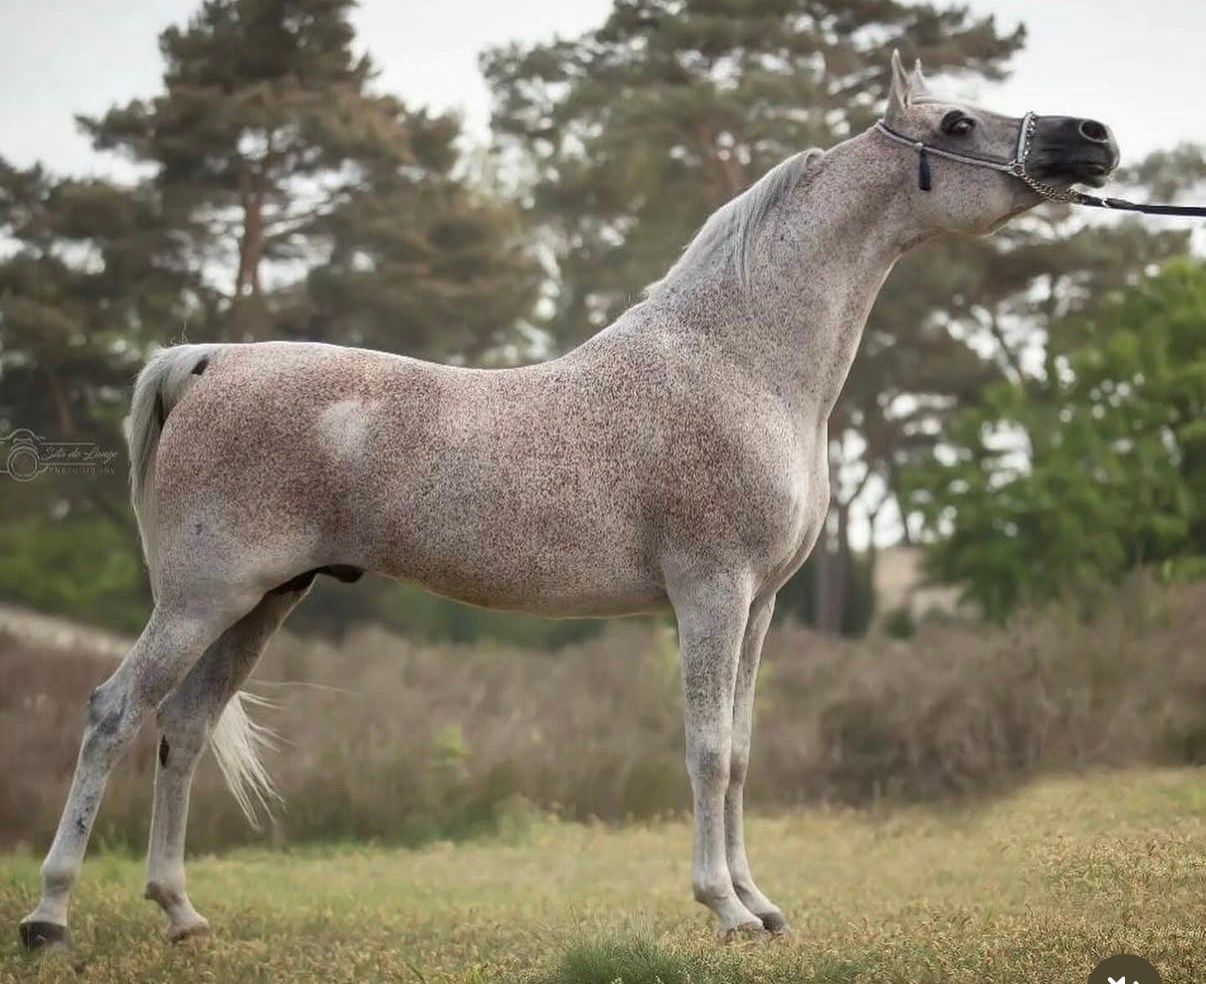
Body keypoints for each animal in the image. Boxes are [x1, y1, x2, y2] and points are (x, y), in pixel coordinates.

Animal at [19, 51, 1119, 949]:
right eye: (957, 125)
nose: (1093, 138)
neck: (738, 362)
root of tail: (210, 360)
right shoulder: (712, 592)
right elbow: (707, 749)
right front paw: (722, 909)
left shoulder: (759, 604)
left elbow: (743, 752)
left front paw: (760, 904)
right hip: (201, 599)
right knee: (115, 711)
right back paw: (49, 914)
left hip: (261, 603)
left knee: (187, 725)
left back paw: (180, 913)